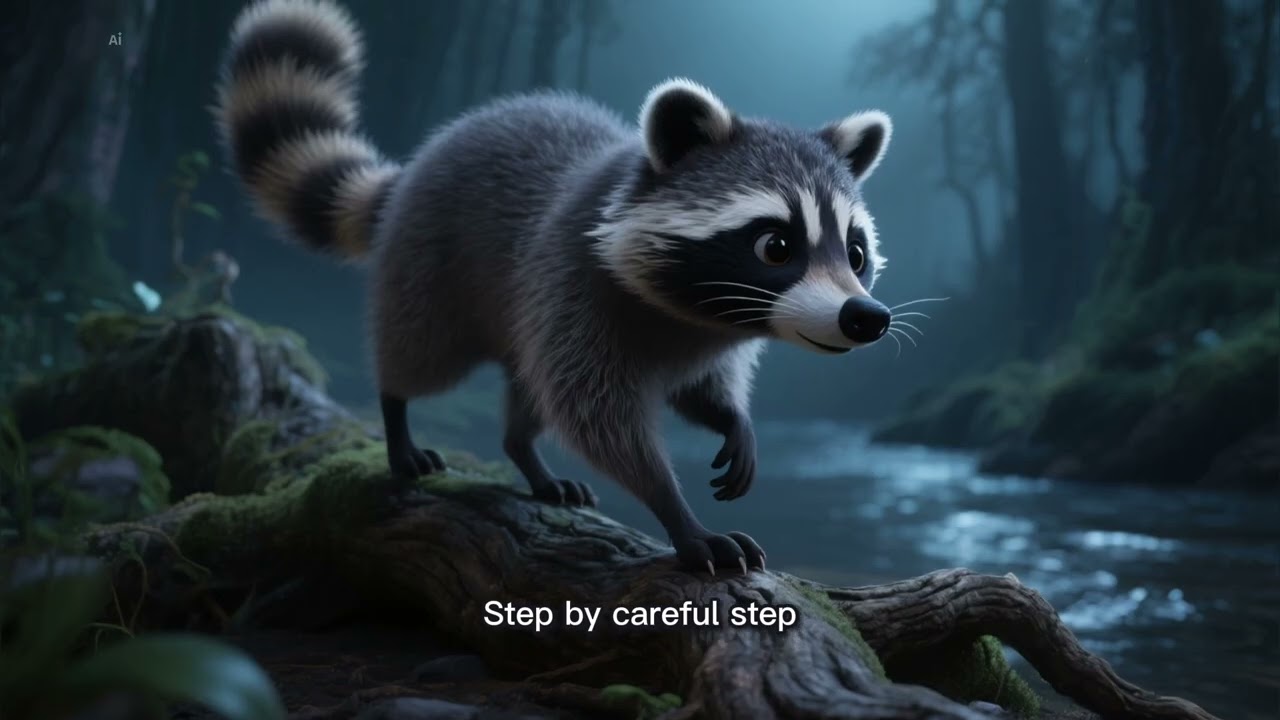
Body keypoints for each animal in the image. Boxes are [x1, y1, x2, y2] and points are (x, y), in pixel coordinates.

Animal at [215, 0, 894, 573]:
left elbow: (699, 389)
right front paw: (678, 514)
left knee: (526, 391)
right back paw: (397, 413)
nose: (865, 317)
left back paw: (526, 456)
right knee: (420, 354)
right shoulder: (572, 280)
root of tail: (415, 169)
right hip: (430, 267)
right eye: (775, 246)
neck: (697, 313)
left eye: (856, 253)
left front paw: (733, 420)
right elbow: (597, 418)